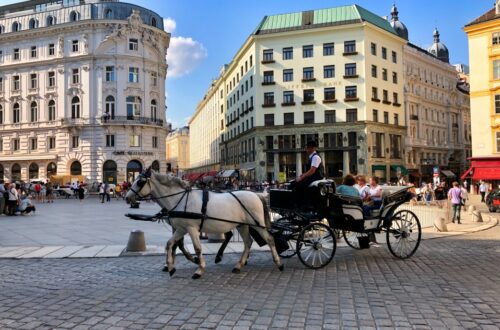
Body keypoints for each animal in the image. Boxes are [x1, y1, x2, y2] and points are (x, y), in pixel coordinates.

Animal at [125, 168, 284, 278]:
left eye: (140, 182)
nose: (127, 198)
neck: (180, 199)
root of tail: (256, 194)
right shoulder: (181, 228)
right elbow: (170, 244)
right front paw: (170, 267)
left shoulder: (191, 228)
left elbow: (197, 248)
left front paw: (199, 268)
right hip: (242, 225)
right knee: (248, 242)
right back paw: (238, 265)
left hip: (257, 224)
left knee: (269, 239)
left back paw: (278, 263)